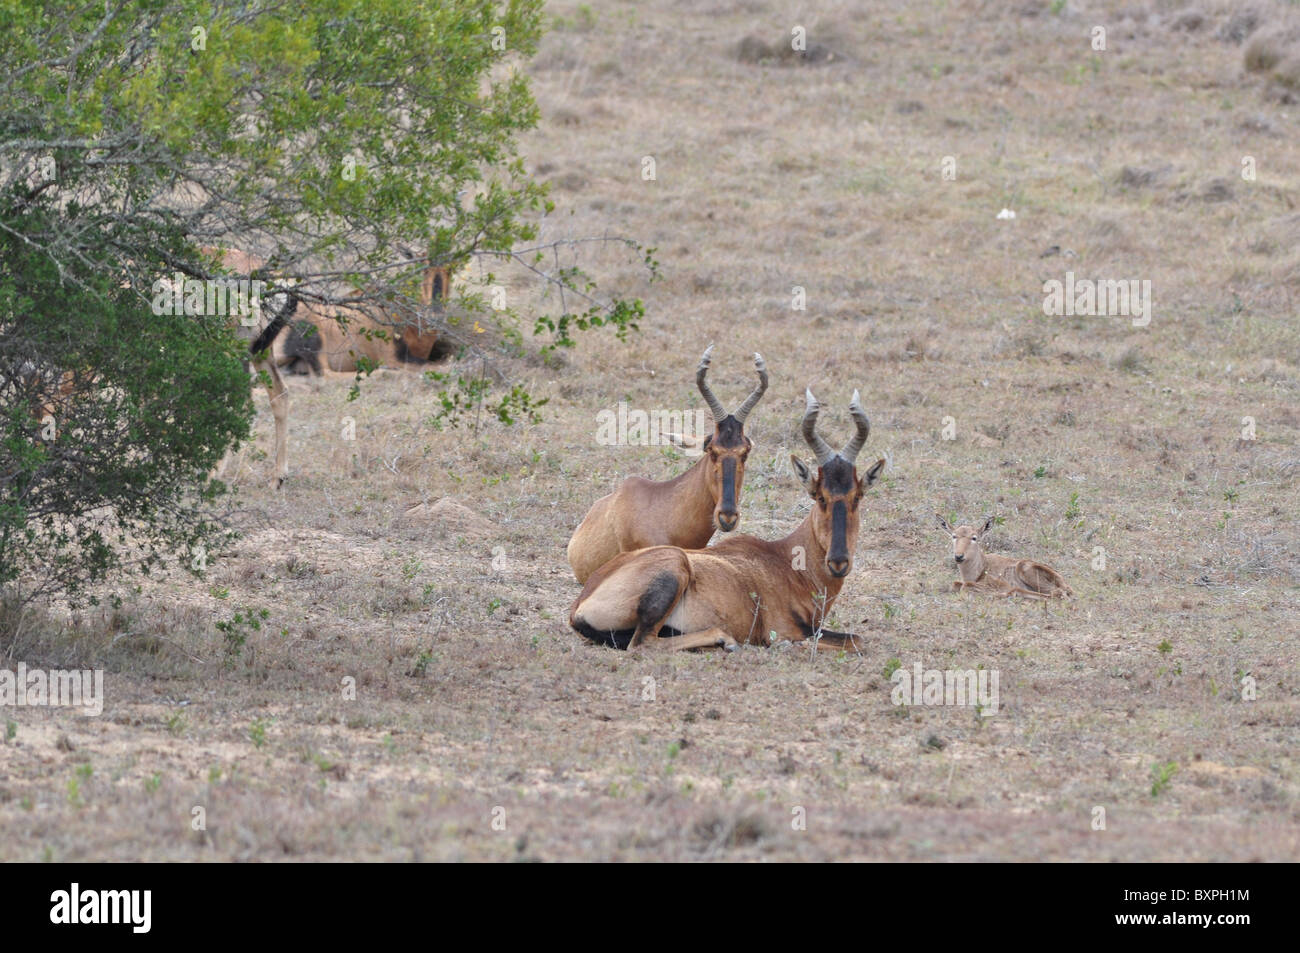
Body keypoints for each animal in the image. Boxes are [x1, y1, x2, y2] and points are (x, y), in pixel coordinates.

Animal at [569, 387, 883, 647]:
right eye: (820, 497)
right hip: (674, 566)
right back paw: (725, 640)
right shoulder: (784, 631)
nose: (838, 562)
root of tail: (579, 605)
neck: (785, 561)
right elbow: (854, 641)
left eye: (857, 496)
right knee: (642, 643)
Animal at [941, 512, 1071, 595]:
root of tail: (1063, 581)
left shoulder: (1001, 584)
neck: (983, 565)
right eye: (954, 536)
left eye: (974, 538)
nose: (959, 556)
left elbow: (965, 586)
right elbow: (955, 584)